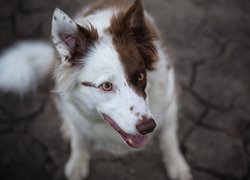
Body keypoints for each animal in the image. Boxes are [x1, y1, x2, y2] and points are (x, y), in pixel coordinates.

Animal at [0, 0, 191, 180]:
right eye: (106, 86)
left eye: (140, 76)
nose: (149, 127)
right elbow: (79, 140)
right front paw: (77, 164)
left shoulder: (169, 102)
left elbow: (169, 138)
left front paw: (177, 165)